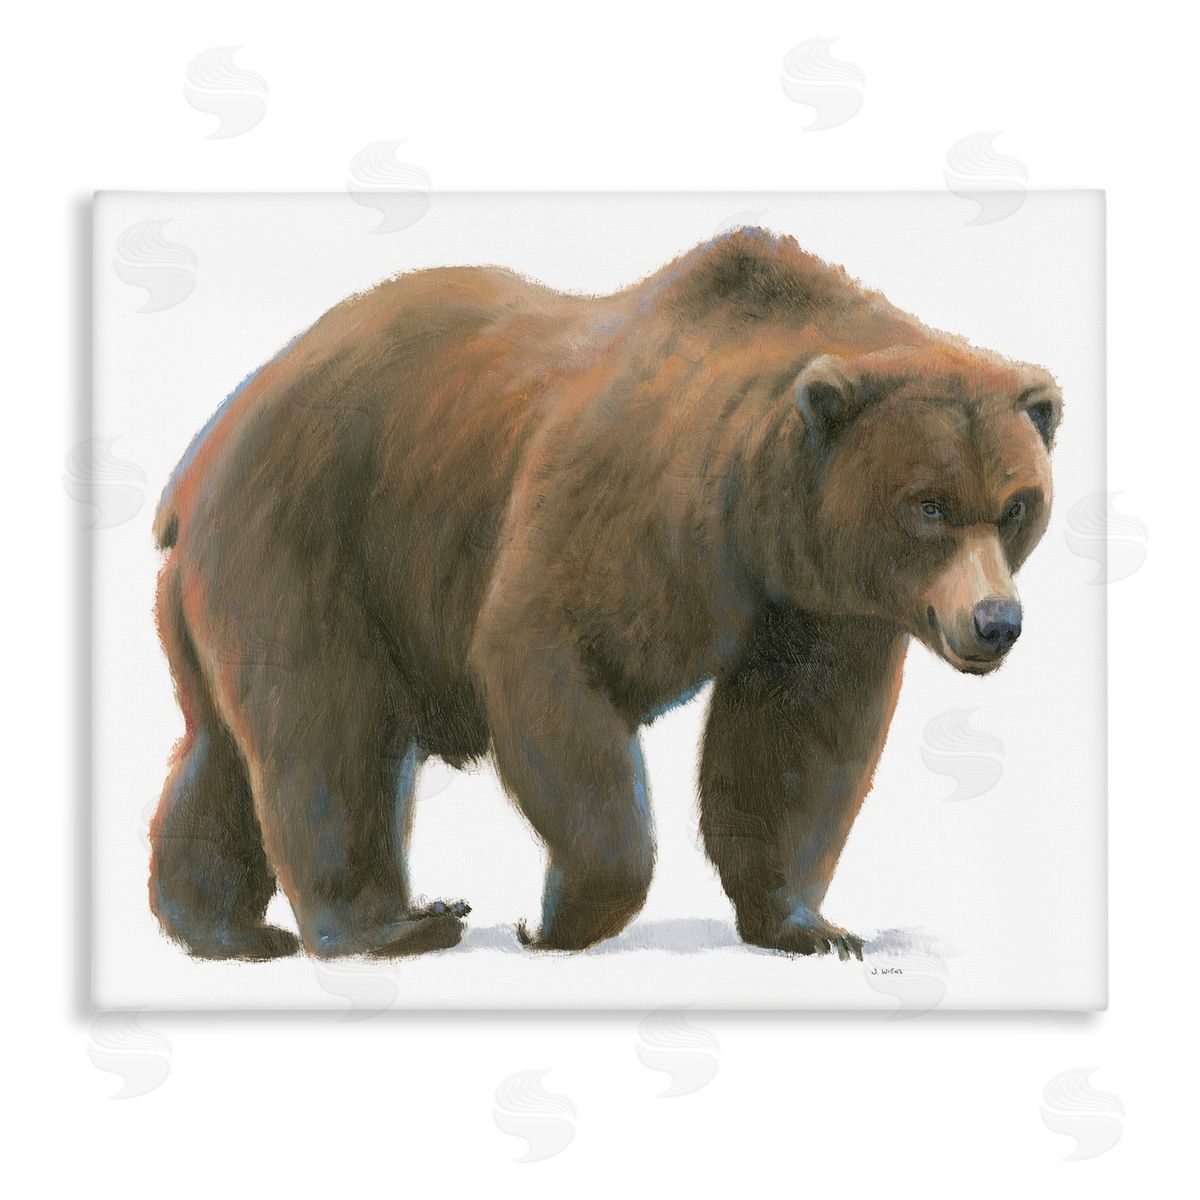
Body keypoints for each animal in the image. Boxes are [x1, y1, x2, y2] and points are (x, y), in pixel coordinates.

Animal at [148, 228, 1060, 962]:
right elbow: (549, 659)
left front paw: (809, 925)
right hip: (306, 537)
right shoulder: (640, 507)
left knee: (220, 749)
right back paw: (394, 926)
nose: (995, 621)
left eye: (1017, 504)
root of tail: (198, 462)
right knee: (328, 732)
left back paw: (222, 928)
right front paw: (558, 918)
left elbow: (798, 741)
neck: (757, 510)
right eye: (928, 506)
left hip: (226, 583)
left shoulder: (817, 605)